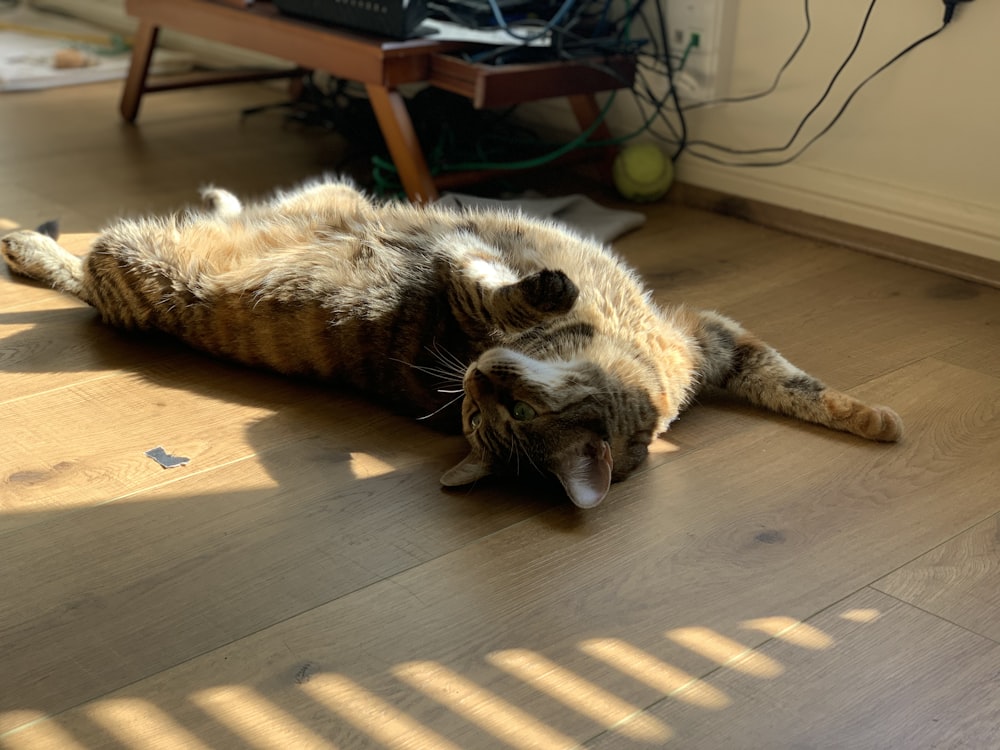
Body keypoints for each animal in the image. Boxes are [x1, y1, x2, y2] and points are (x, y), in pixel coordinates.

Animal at [0, 177, 904, 508]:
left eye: (502, 415)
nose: (475, 375)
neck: (623, 347)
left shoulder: (711, 342)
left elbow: (794, 386)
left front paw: (874, 422)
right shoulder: (708, 335)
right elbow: (490, 276)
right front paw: (879, 419)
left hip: (130, 255)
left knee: (83, 266)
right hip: (144, 252)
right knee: (78, 261)